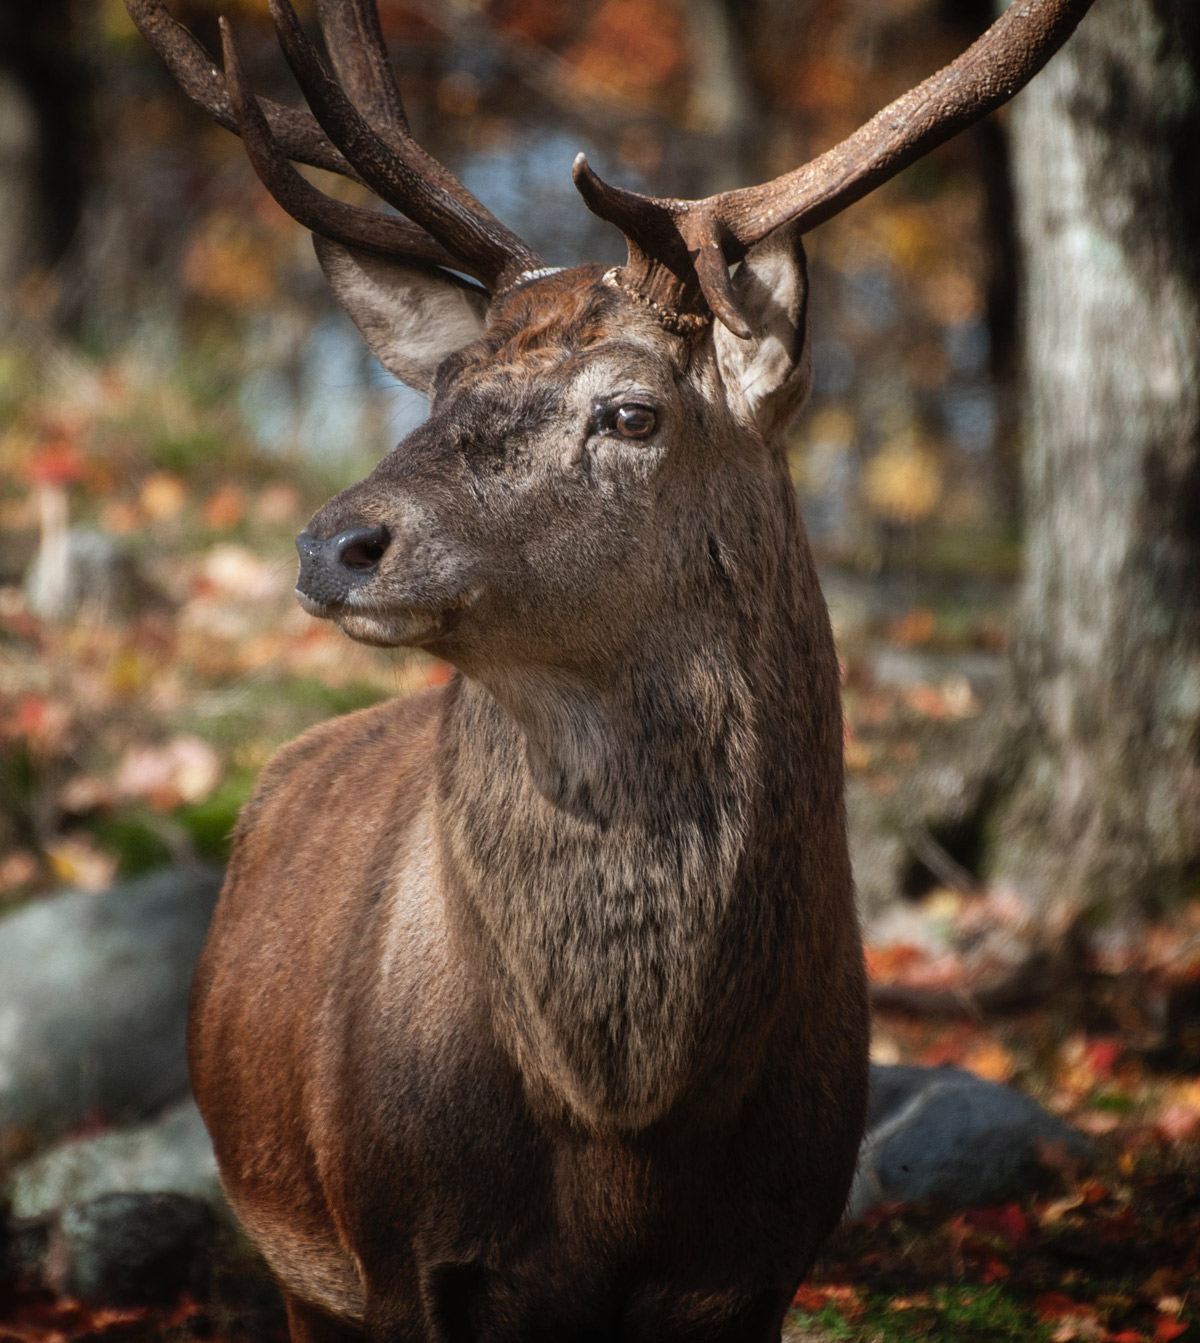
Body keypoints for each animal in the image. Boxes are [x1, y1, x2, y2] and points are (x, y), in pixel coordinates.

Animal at [124, 5, 1100, 1337]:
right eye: (442, 387)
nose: (334, 542)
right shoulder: (396, 1246)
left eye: (632, 413)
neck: (624, 1135)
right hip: (293, 1256)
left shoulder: (770, 1253)